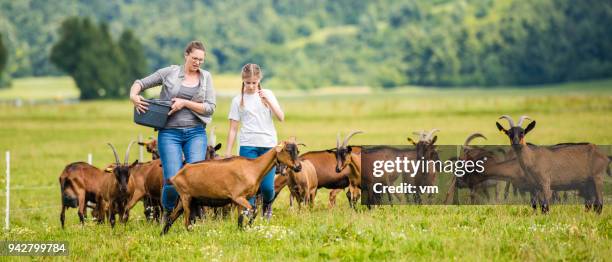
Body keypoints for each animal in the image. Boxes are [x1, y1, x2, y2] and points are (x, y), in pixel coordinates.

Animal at [161, 139, 302, 233]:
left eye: (297, 150)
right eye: (287, 150)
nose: (298, 167)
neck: (253, 167)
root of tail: (176, 175)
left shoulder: (241, 200)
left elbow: (240, 218)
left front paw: (242, 230)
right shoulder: (238, 197)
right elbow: (254, 210)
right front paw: (248, 226)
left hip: (187, 199)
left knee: (171, 219)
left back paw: (163, 234)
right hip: (186, 197)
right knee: (186, 222)